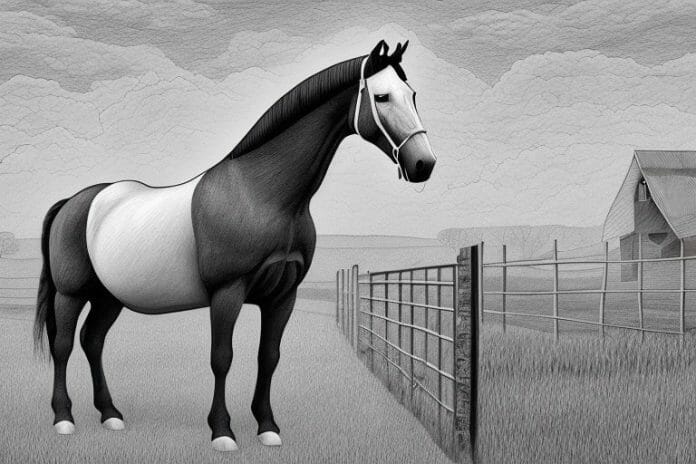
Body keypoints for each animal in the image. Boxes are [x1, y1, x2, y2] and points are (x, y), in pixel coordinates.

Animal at [33, 40, 436, 451]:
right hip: (71, 293)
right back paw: (64, 419)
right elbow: (222, 358)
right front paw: (222, 431)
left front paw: (267, 426)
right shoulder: (227, 293)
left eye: (413, 95)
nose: (424, 163)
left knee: (92, 341)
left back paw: (111, 414)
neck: (259, 193)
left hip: (108, 297)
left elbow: (268, 357)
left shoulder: (283, 296)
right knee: (64, 345)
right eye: (382, 96)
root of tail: (74, 202)